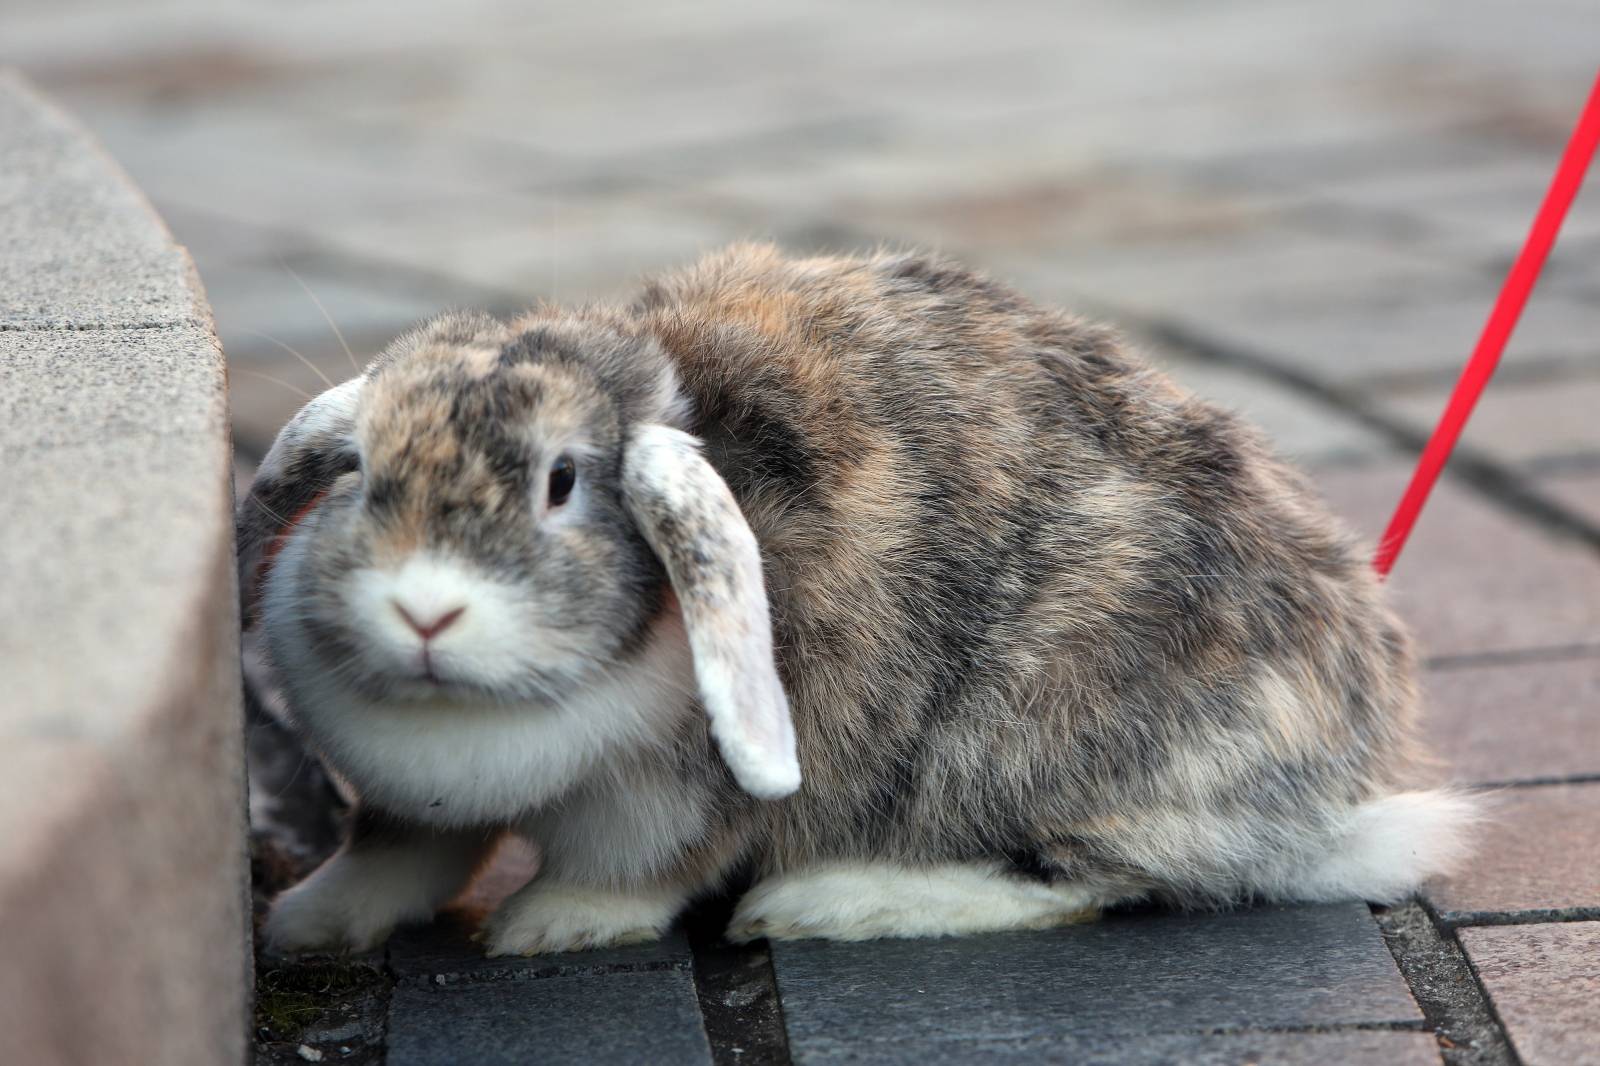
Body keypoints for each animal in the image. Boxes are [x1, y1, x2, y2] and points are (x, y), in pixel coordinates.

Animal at [243, 243, 1478, 953]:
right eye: (364, 473)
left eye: (562, 482)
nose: (425, 613)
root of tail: (1345, 776)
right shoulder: (408, 803)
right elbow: (399, 851)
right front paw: (306, 925)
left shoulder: (679, 797)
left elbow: (639, 871)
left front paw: (548, 927)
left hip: (1041, 736)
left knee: (1084, 881)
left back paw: (826, 904)